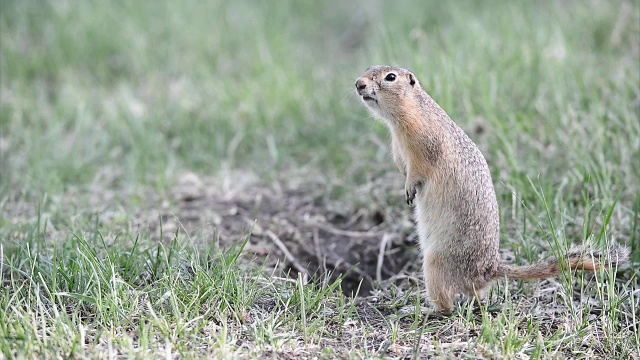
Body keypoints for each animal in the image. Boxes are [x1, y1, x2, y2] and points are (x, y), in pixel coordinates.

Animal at [356, 66, 632, 314]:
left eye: (390, 77)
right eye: (369, 68)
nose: (358, 84)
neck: (402, 118)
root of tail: (489, 269)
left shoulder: (423, 143)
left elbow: (418, 170)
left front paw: (409, 189)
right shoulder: (397, 148)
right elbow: (400, 164)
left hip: (434, 265)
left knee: (447, 305)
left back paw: (424, 310)